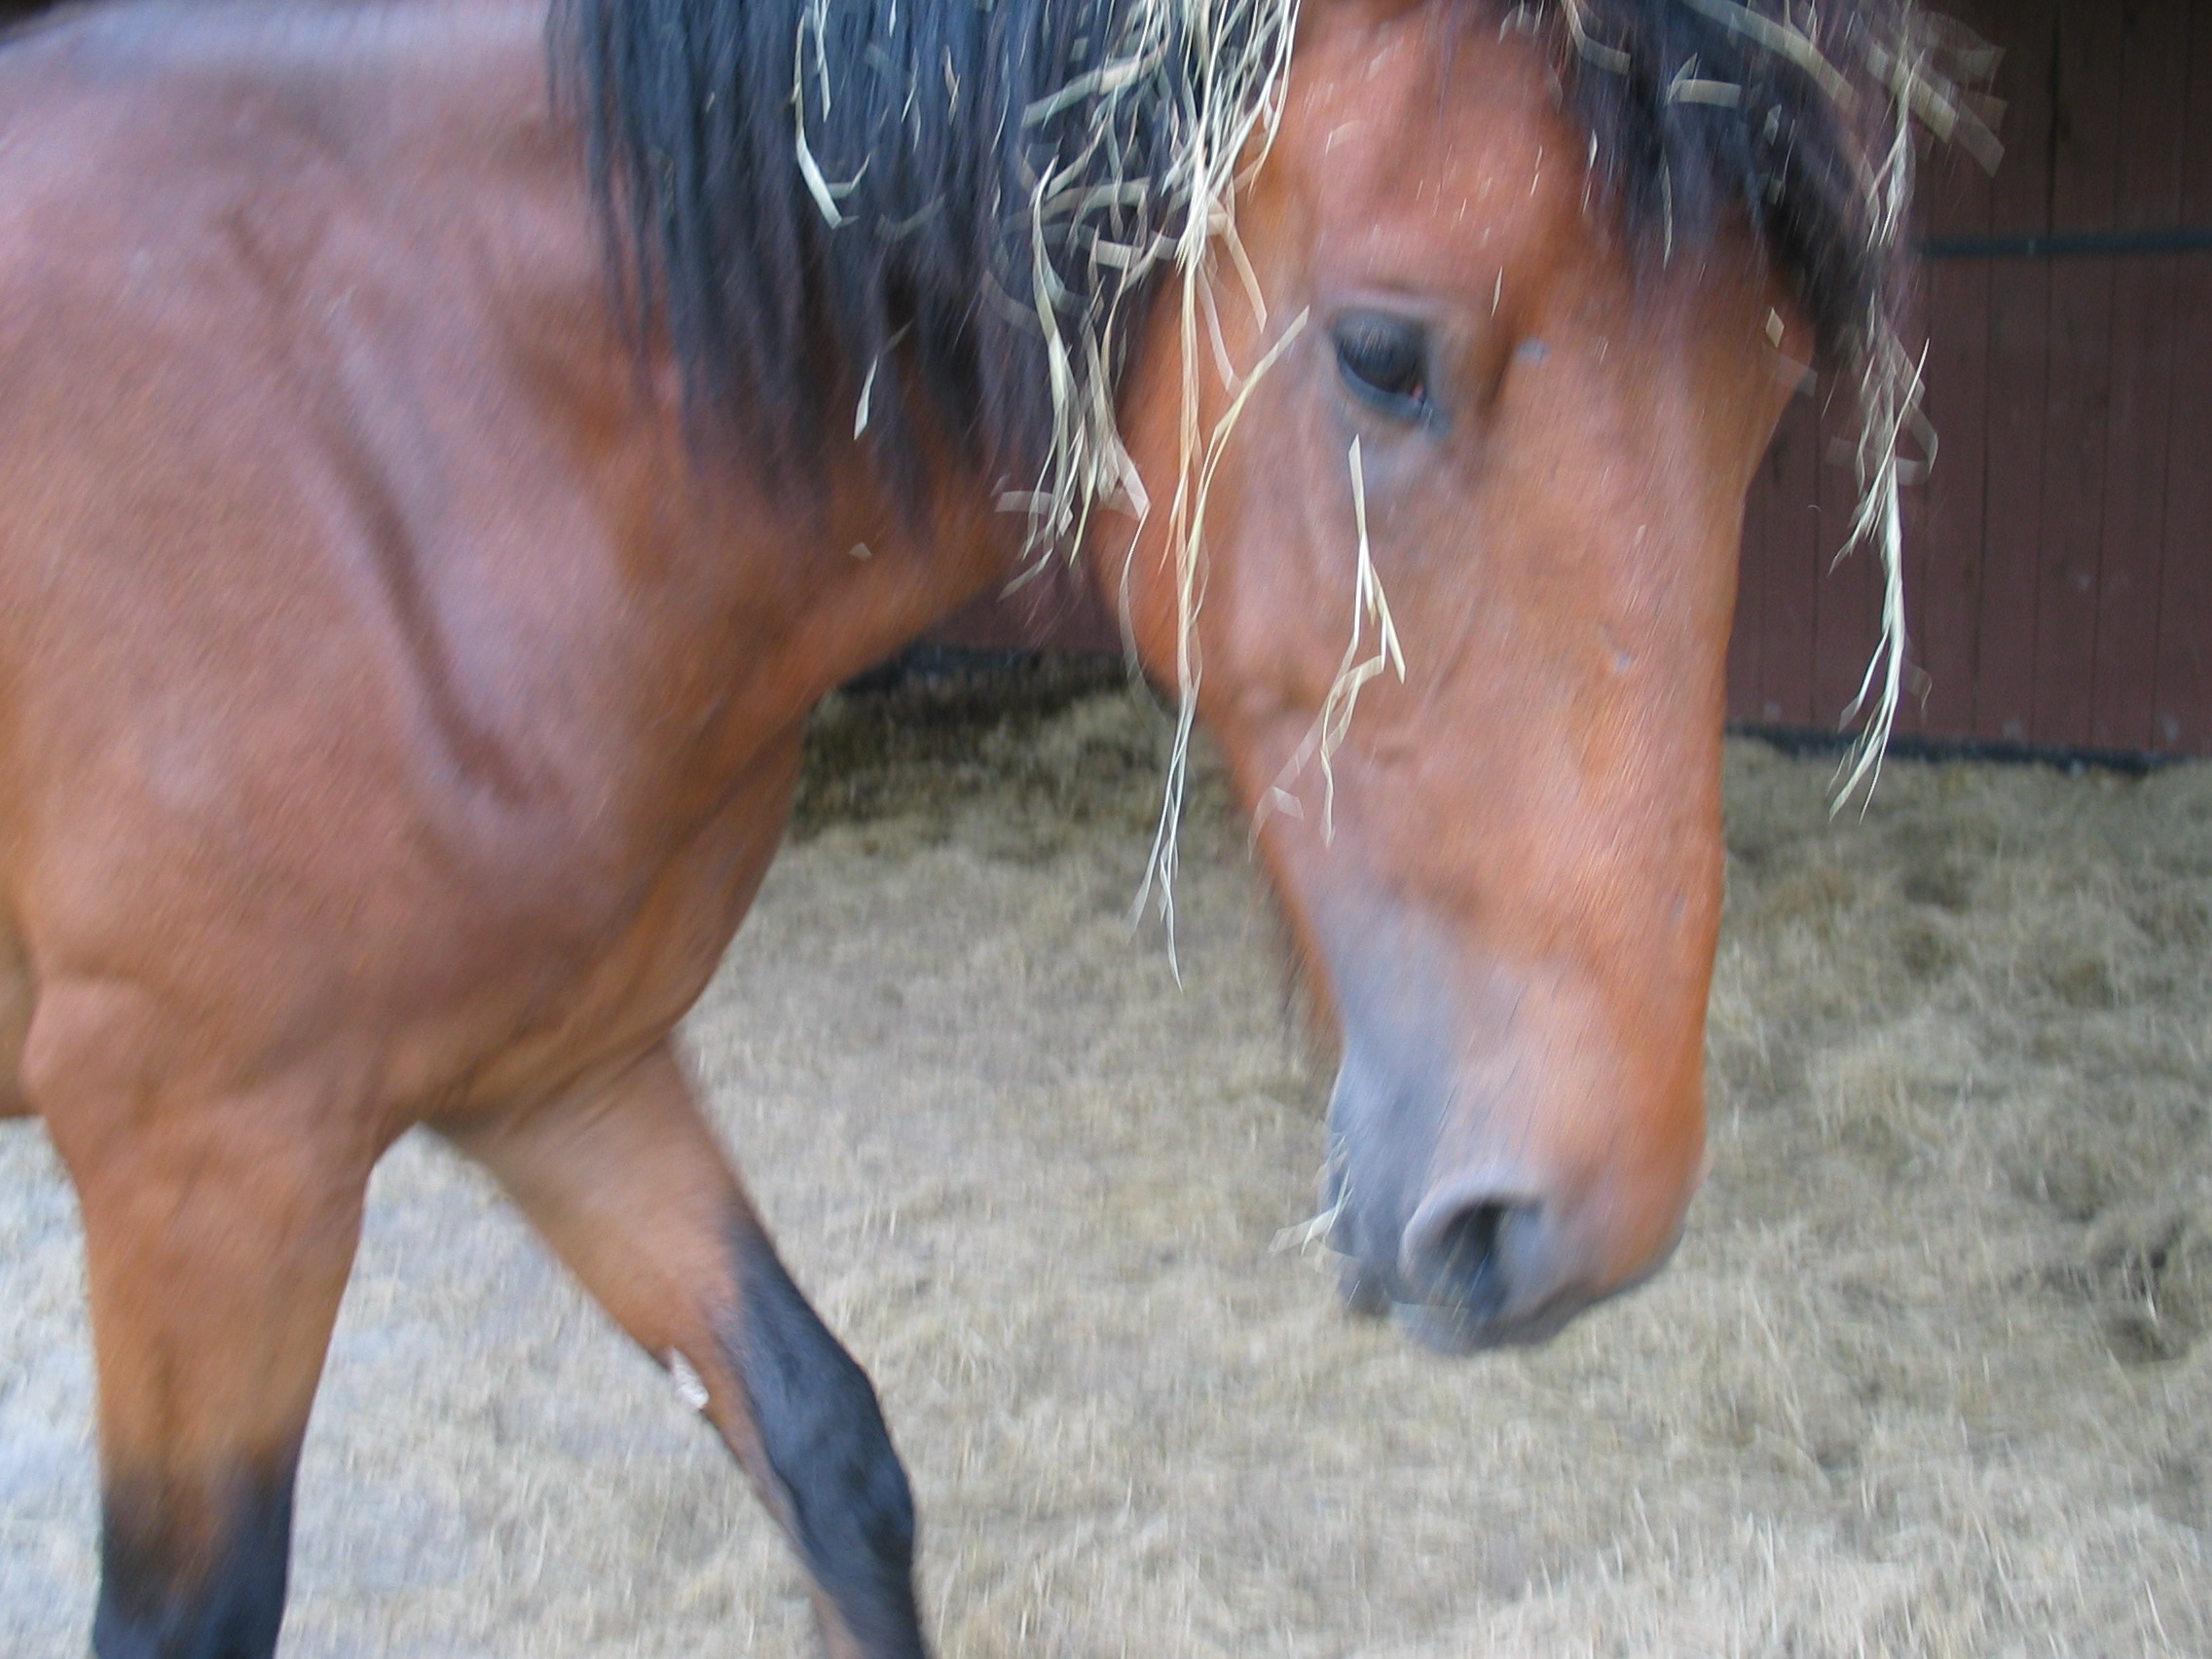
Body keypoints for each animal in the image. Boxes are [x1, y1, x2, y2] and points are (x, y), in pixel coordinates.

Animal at [0, 0, 1970, 1652]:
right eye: (1384, 355)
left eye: (1765, 406)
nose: (1570, 1223)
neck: (394, 432)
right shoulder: (212, 1173)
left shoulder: (564, 1075)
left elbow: (828, 1450)